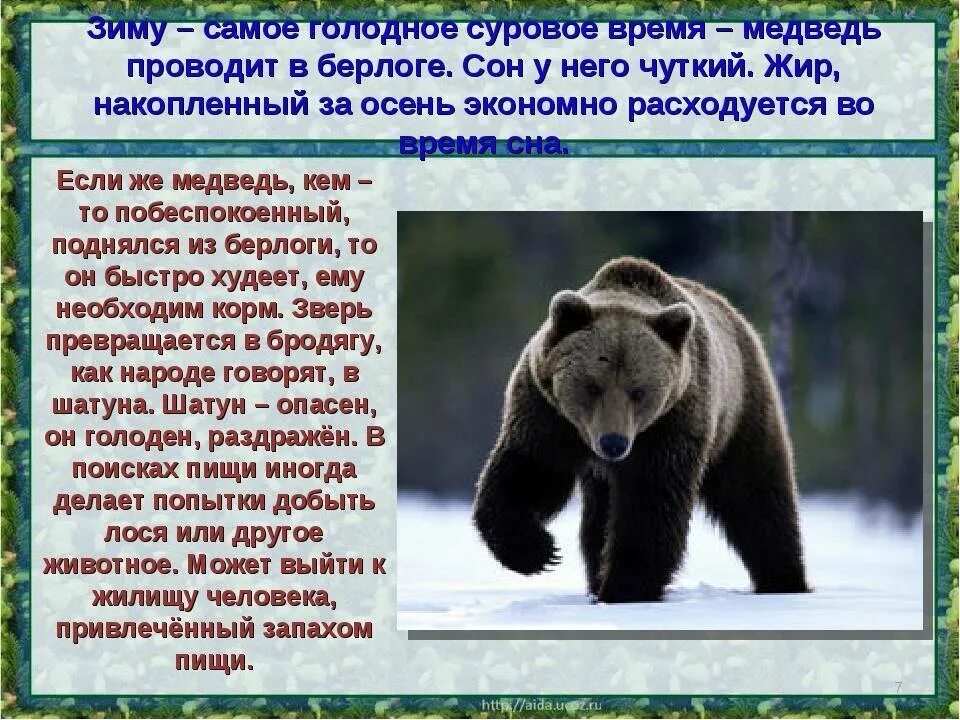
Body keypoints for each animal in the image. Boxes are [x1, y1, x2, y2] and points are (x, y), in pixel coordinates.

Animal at [471, 256, 809, 603]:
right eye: (592, 387)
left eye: (638, 391)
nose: (613, 443)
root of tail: (737, 317)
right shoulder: (547, 412)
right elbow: (530, 471)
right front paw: (537, 551)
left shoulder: (671, 423)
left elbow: (651, 503)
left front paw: (625, 587)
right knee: (598, 519)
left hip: (740, 410)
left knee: (756, 495)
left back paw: (784, 580)